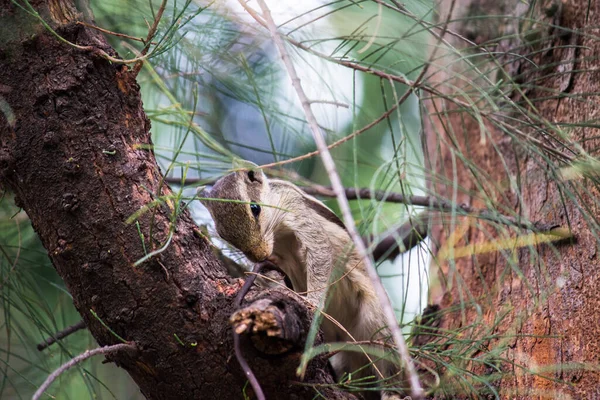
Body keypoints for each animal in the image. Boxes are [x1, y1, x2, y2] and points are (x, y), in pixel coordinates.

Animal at [202, 167, 404, 398]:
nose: (259, 255)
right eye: (222, 233)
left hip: (377, 324)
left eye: (255, 208)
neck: (278, 235)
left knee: (387, 360)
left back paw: (392, 392)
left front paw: (312, 302)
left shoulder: (298, 213)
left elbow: (319, 254)